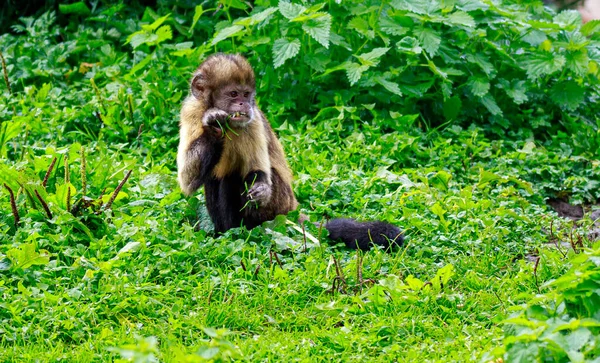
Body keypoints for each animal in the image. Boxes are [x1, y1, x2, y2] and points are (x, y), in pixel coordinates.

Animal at [177, 54, 404, 252]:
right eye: (233, 94)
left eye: (246, 94)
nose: (243, 104)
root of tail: (293, 210)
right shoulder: (191, 110)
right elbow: (188, 181)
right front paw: (215, 126)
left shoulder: (252, 119)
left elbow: (258, 173)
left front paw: (261, 188)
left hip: (280, 206)